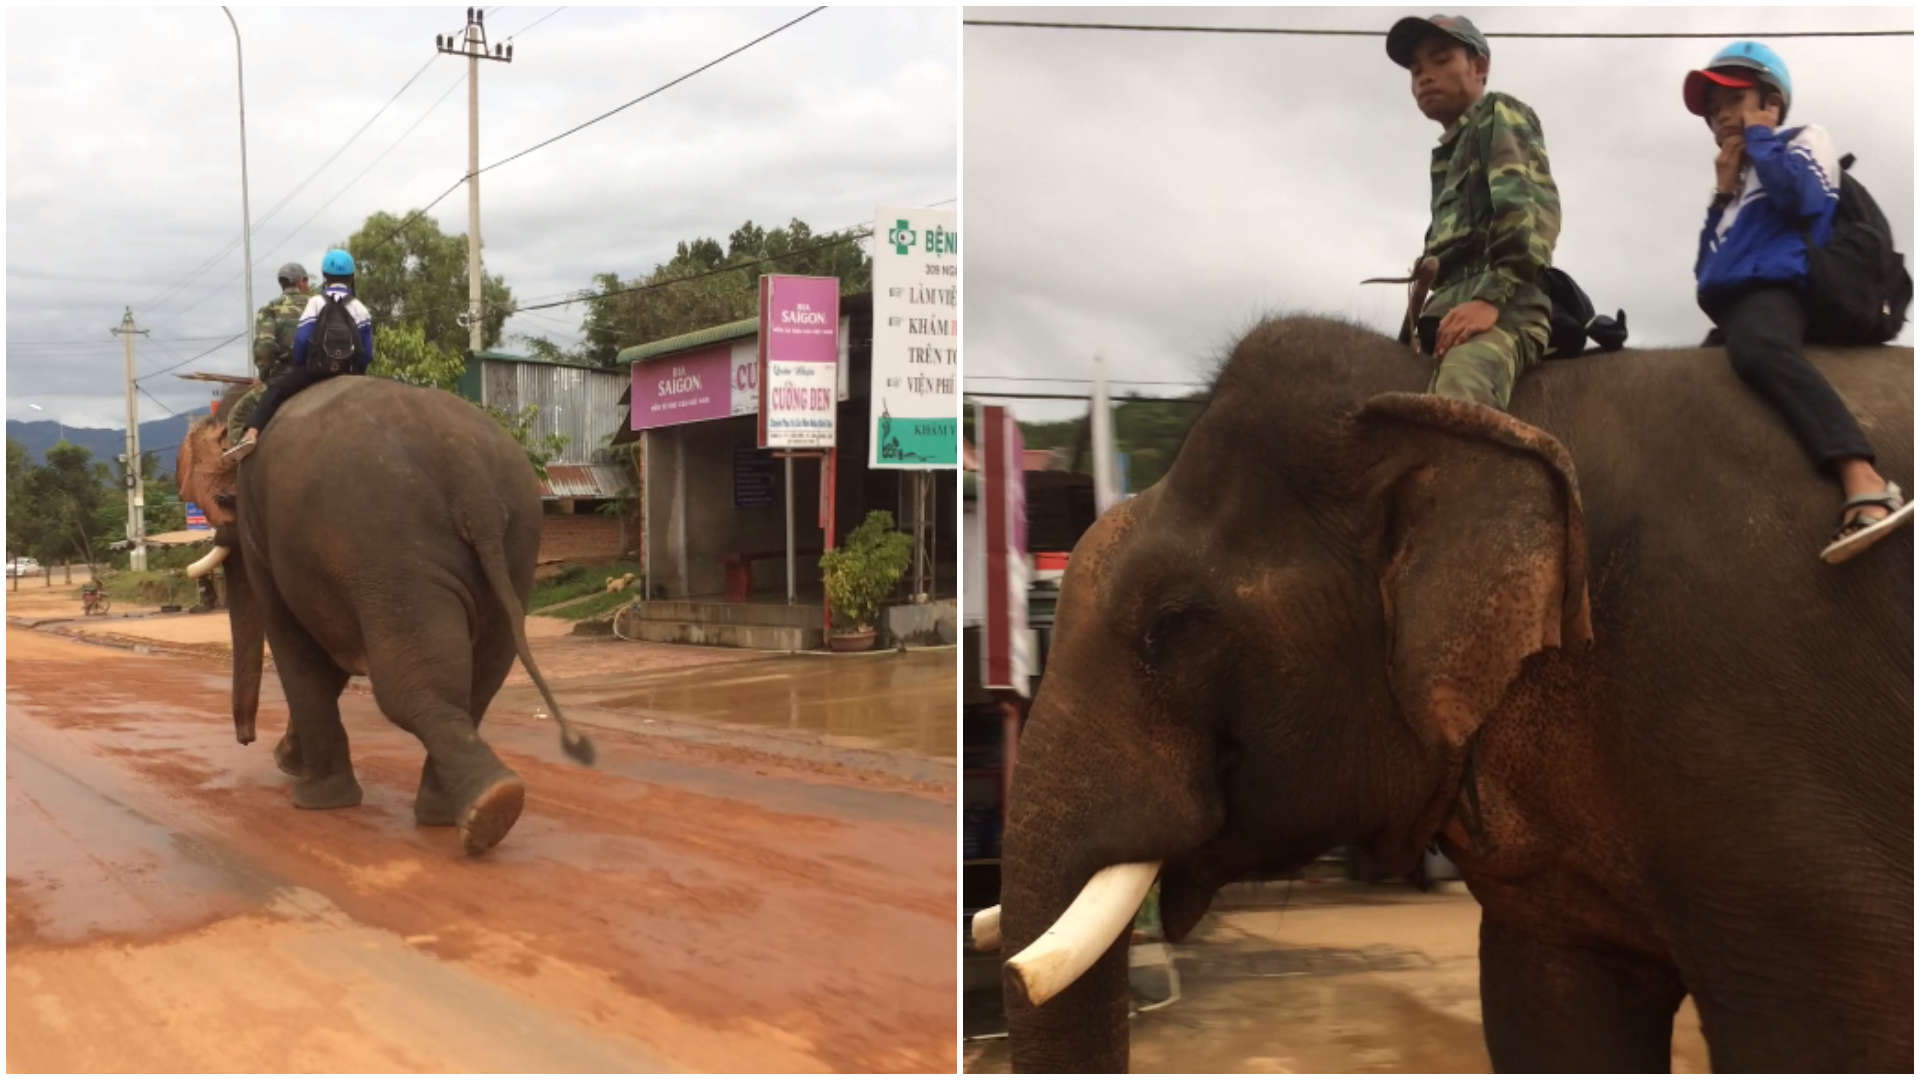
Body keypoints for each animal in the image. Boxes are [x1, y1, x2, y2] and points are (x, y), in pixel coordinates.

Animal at [177, 376, 594, 855]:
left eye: (219, 498)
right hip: (514, 543)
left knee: (406, 686)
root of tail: (466, 465)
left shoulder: (263, 528)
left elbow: (297, 645)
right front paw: (290, 763)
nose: (246, 739)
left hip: (390, 549)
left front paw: (311, 794)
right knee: (482, 674)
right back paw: (471, 809)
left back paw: (485, 809)